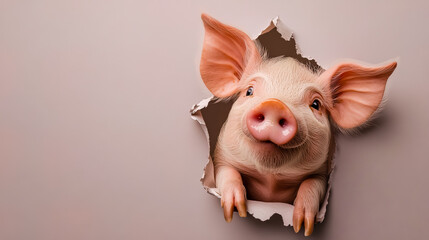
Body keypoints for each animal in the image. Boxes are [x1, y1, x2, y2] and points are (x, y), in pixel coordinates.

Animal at [199, 13, 396, 236]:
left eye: (316, 104)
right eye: (249, 91)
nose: (275, 104)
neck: (271, 180)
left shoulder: (322, 173)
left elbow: (312, 185)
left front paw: (303, 225)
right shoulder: (220, 158)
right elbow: (227, 173)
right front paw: (236, 210)